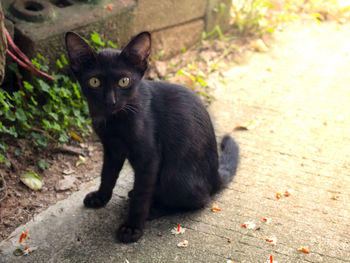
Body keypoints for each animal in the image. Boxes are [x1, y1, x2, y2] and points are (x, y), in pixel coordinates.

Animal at [64, 31, 239, 243]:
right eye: (94, 82)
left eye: (124, 81)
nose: (110, 101)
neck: (114, 120)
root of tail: (215, 176)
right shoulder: (112, 149)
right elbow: (107, 174)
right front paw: (101, 196)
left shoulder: (149, 157)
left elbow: (141, 195)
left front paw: (132, 227)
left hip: (174, 174)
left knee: (199, 200)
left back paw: (154, 209)